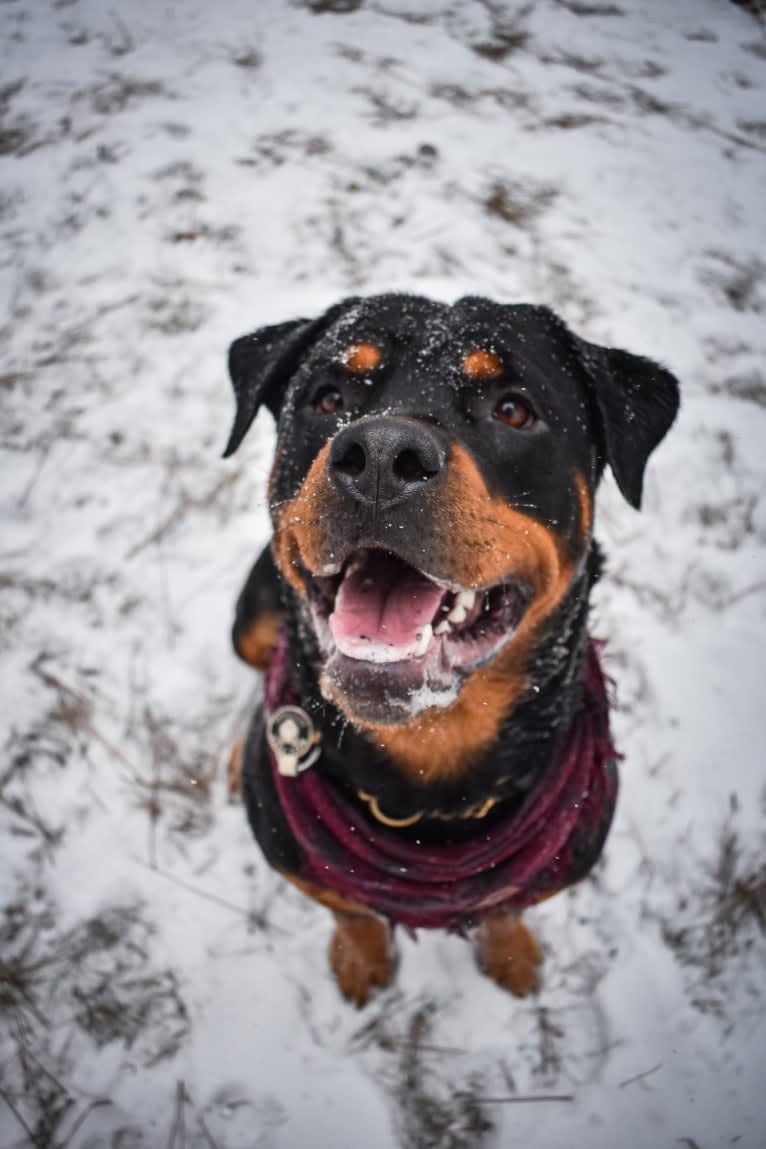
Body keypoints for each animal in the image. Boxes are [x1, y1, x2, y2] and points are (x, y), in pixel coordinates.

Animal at [225, 296, 679, 1006]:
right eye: (327, 398)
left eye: (514, 409)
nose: (380, 454)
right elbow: (350, 909)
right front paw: (360, 960)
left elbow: (505, 907)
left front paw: (512, 955)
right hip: (249, 624)